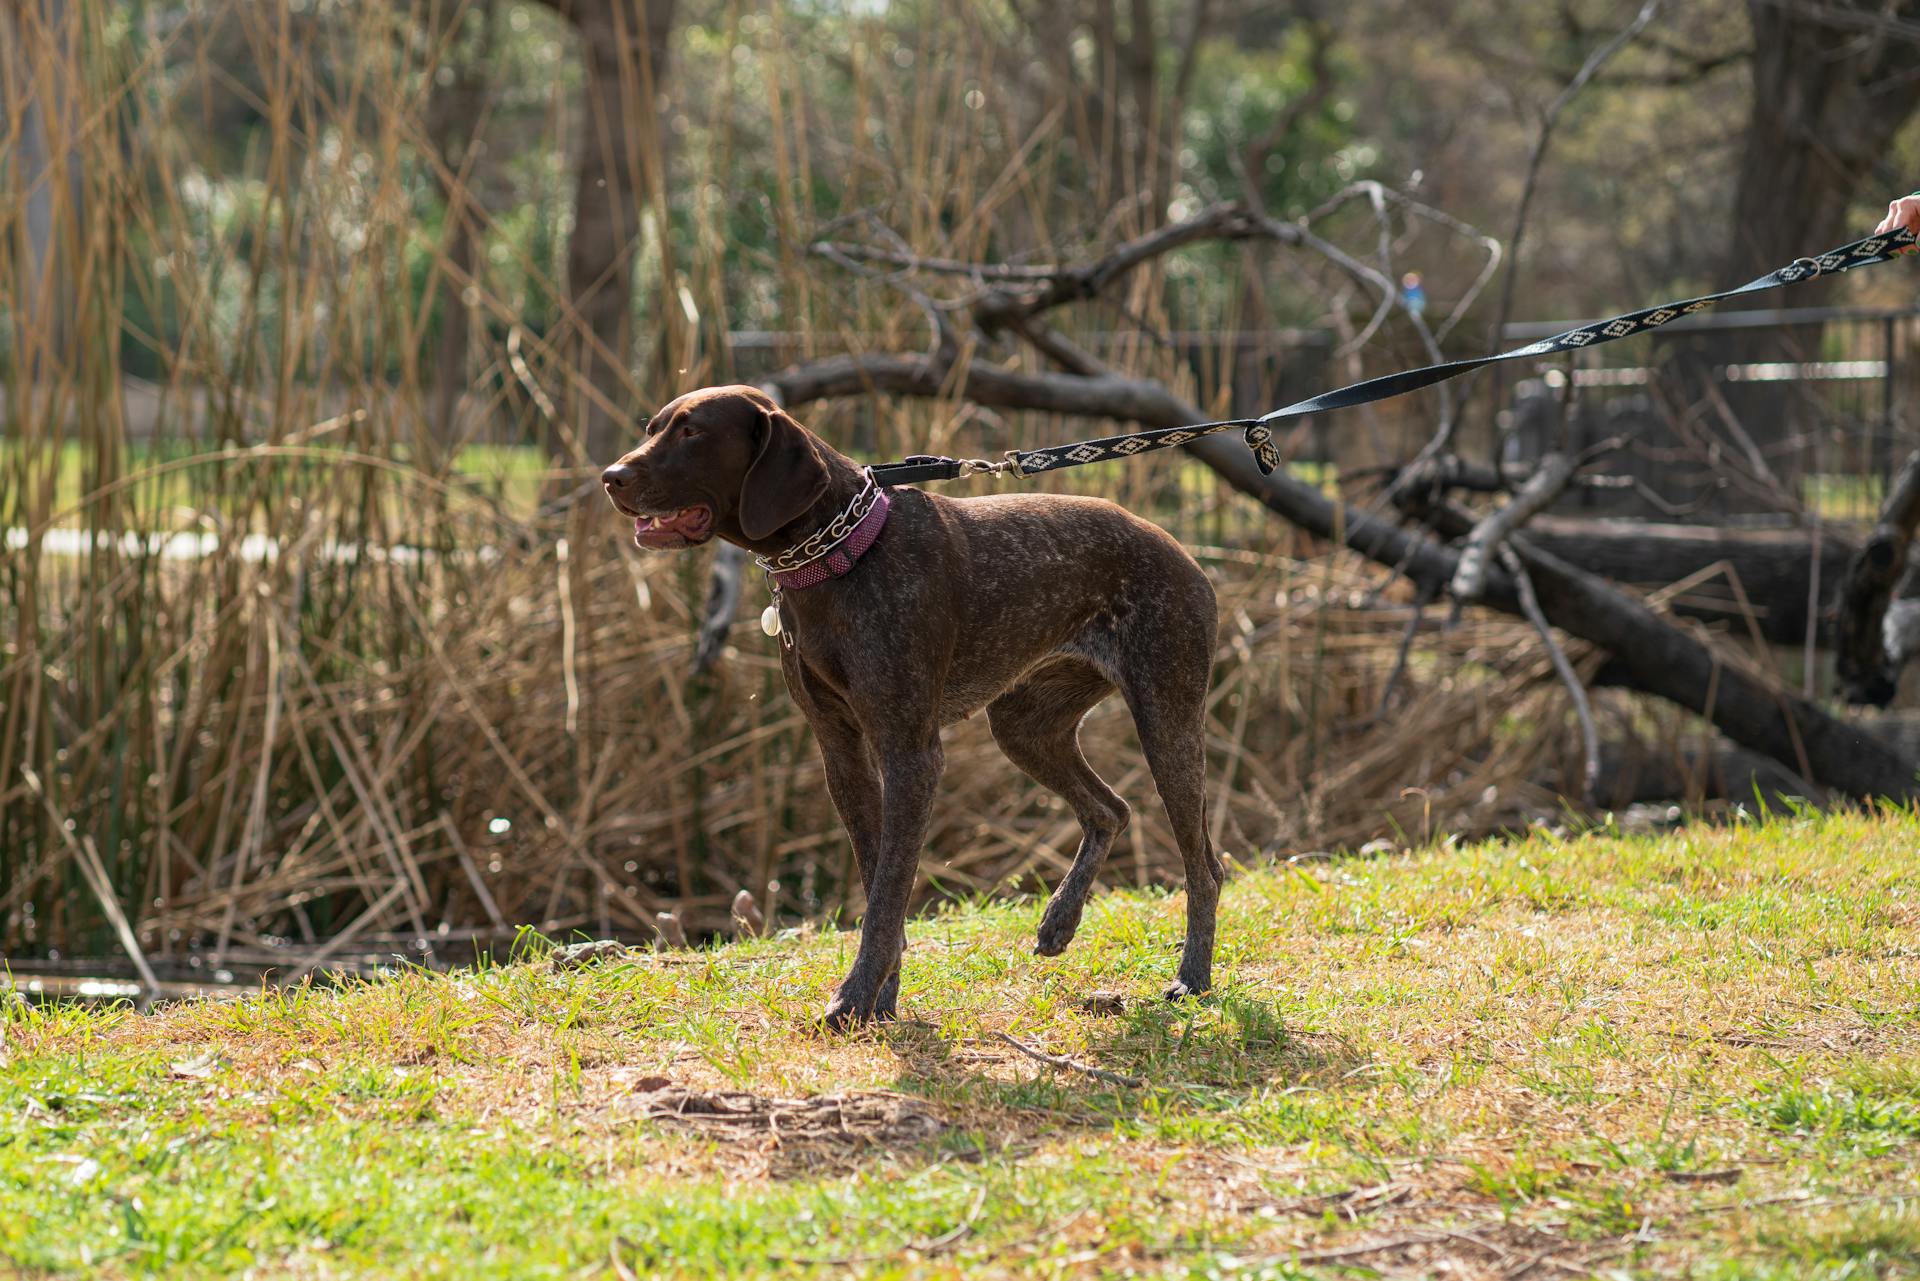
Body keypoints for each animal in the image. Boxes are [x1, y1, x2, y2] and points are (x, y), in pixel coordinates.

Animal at [599, 386, 1221, 1029]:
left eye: (693, 432)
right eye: (652, 428)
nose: (610, 478)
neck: (839, 552)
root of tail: (1183, 553)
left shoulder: (910, 755)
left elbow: (889, 890)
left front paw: (853, 998)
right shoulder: (841, 752)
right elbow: (879, 881)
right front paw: (883, 999)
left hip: (1166, 723)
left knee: (1204, 867)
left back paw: (1192, 977)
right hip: (1024, 727)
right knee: (1110, 810)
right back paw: (1058, 921)